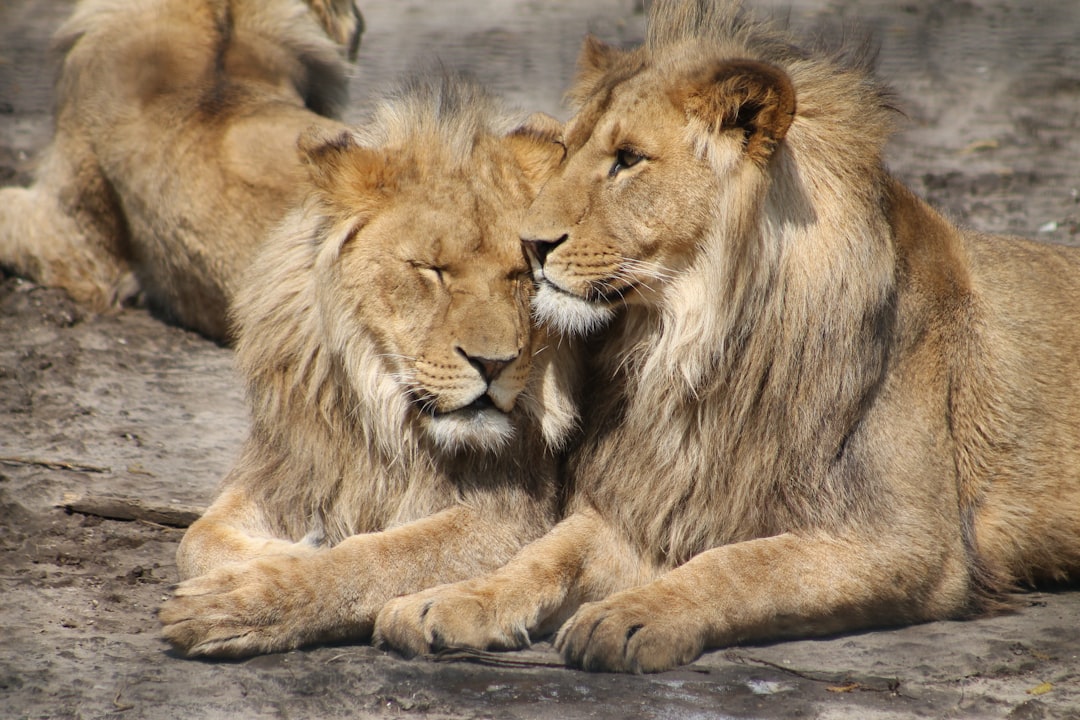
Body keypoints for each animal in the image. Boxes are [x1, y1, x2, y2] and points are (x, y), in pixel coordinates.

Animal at [157, 77, 583, 660]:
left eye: (523, 273)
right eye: (432, 270)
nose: (494, 363)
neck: (385, 420)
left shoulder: (514, 515)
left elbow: (375, 557)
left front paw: (246, 596)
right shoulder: (292, 469)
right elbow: (195, 539)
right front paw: (279, 552)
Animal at [369, 0, 1080, 677]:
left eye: (628, 160)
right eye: (566, 152)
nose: (530, 245)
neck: (697, 350)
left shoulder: (912, 544)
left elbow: (740, 565)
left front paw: (627, 618)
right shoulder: (659, 501)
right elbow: (546, 552)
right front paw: (447, 601)